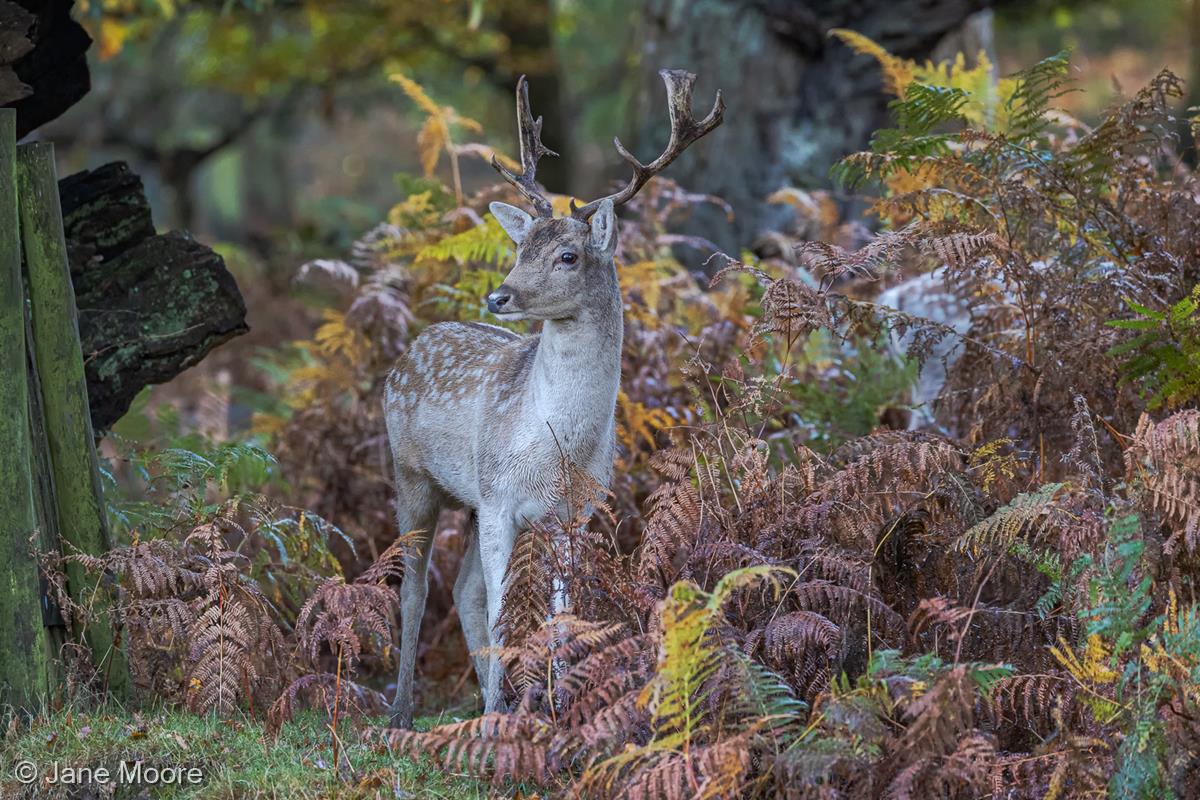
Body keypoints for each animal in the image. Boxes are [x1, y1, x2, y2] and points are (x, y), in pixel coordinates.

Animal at [386, 71, 720, 729]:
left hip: (467, 499)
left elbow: (561, 618)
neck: (553, 448)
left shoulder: (573, 513)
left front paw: (559, 709)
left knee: (461, 590)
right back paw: (406, 711)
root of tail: (411, 347)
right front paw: (500, 720)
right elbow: (501, 606)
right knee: (415, 589)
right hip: (413, 474)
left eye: (568, 255)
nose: (499, 296)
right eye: (519, 250)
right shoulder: (498, 497)